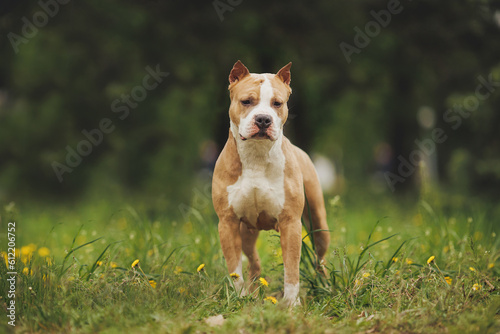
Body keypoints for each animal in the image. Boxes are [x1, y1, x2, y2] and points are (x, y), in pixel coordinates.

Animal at [212, 60, 332, 306]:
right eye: (246, 101)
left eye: (277, 103)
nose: (263, 119)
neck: (256, 156)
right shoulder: (227, 223)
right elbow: (234, 267)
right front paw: (239, 298)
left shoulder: (290, 222)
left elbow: (291, 268)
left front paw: (291, 304)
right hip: (246, 233)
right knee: (253, 261)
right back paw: (253, 293)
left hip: (318, 222)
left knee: (320, 257)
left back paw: (324, 287)